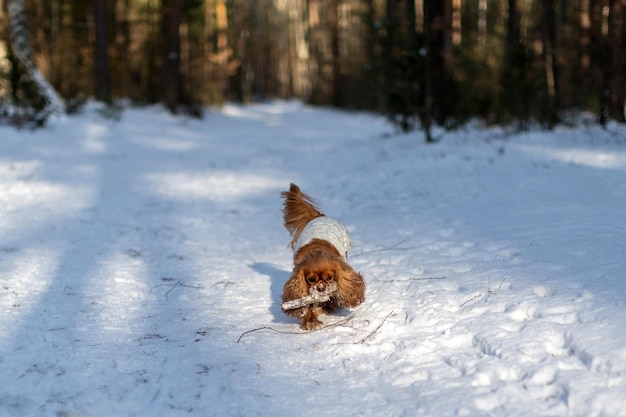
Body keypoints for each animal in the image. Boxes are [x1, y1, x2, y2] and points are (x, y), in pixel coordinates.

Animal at [280, 184, 364, 330]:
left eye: (329, 277)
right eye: (311, 280)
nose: (320, 288)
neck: (317, 250)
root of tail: (319, 216)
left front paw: (327, 306)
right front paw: (311, 321)